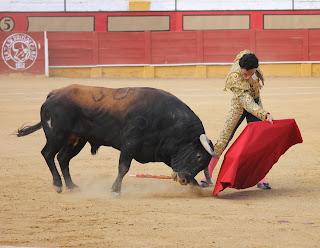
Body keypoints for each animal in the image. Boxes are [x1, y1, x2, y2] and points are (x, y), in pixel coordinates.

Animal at [16, 85, 214, 194]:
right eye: (198, 156)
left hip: (77, 140)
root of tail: (53, 94)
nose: (183, 180)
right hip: (56, 136)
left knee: (63, 158)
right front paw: (115, 190)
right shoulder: (130, 144)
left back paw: (72, 186)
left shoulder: (162, 151)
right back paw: (58, 185)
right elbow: (123, 167)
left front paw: (196, 186)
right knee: (48, 154)